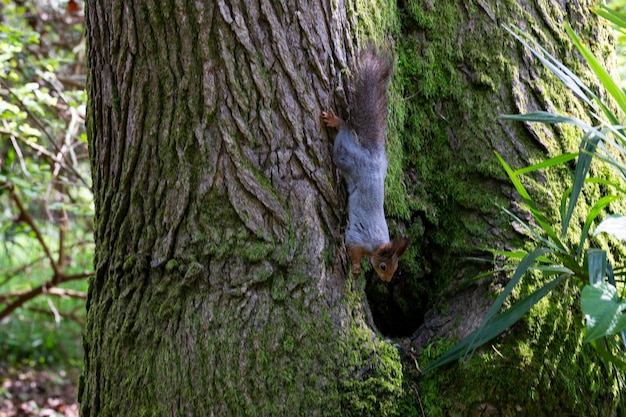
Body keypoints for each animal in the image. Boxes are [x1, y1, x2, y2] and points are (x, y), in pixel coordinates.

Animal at [322, 44, 410, 282]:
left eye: (395, 268)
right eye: (383, 266)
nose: (387, 281)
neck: (377, 243)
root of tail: (372, 157)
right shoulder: (358, 236)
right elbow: (352, 249)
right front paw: (356, 267)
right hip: (346, 156)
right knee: (344, 130)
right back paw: (335, 121)